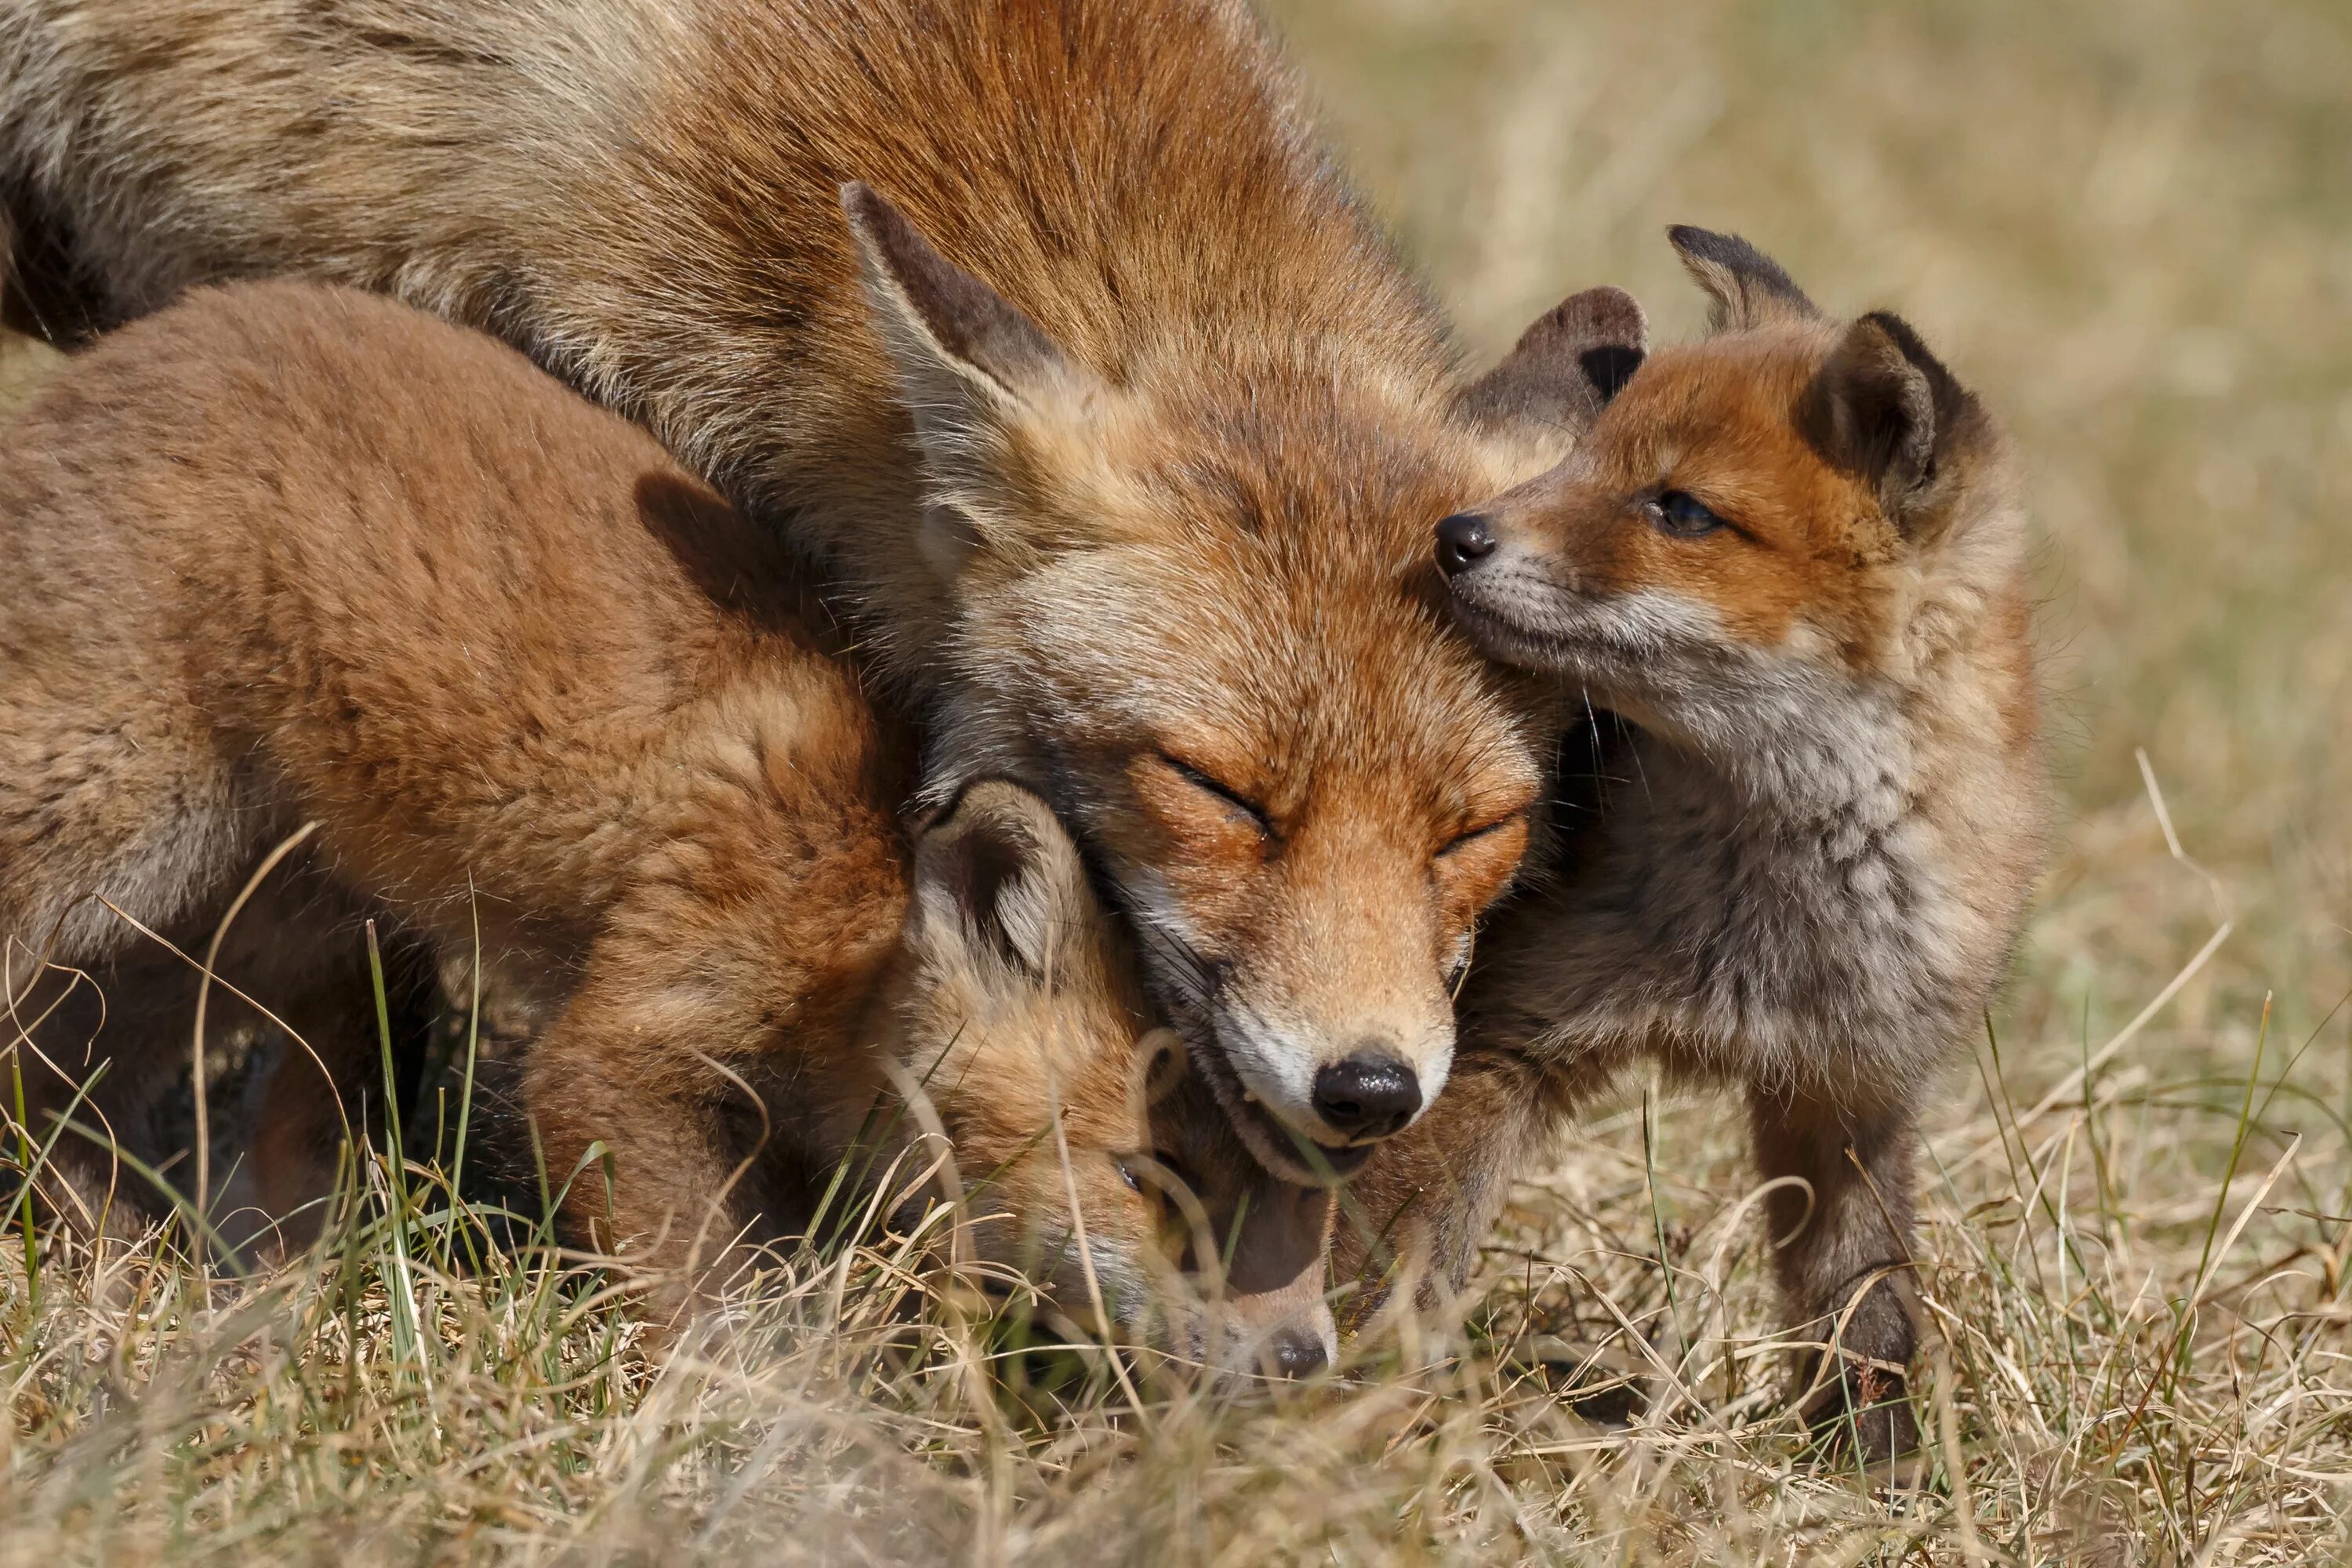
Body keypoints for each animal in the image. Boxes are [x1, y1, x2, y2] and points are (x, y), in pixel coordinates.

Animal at [0, 281, 1327, 1373]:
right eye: (1153, 1179)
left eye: (1304, 1200)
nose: (1307, 1358)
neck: (851, 909)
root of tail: (112, 358)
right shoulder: (619, 1050)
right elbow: (719, 1304)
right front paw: (786, 1437)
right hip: (113, 821)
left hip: (244, 924)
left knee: (55, 1080)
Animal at [1355, 227, 2051, 1457]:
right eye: (1582, 458)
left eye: (1679, 510)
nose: (1454, 536)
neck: (1770, 920)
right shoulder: (1493, 1038)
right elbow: (1401, 1264)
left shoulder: (1851, 1092)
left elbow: (1867, 1309)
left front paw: (1874, 1470)